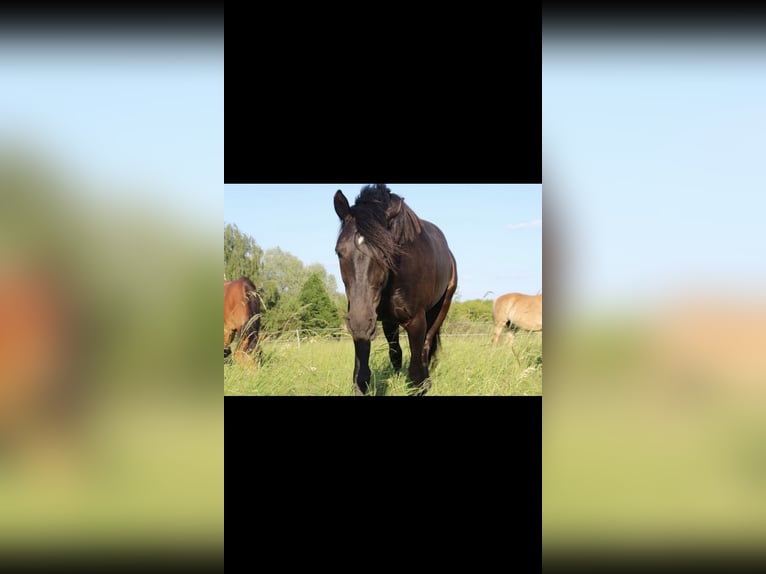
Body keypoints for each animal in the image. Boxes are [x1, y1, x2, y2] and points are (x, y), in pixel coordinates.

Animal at [334, 183, 456, 396]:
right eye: (339, 252)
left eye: (386, 254)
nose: (359, 324)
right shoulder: (366, 325)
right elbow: (361, 376)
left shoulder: (416, 321)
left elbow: (416, 372)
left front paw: (421, 384)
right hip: (387, 321)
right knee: (396, 351)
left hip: (442, 307)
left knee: (426, 347)